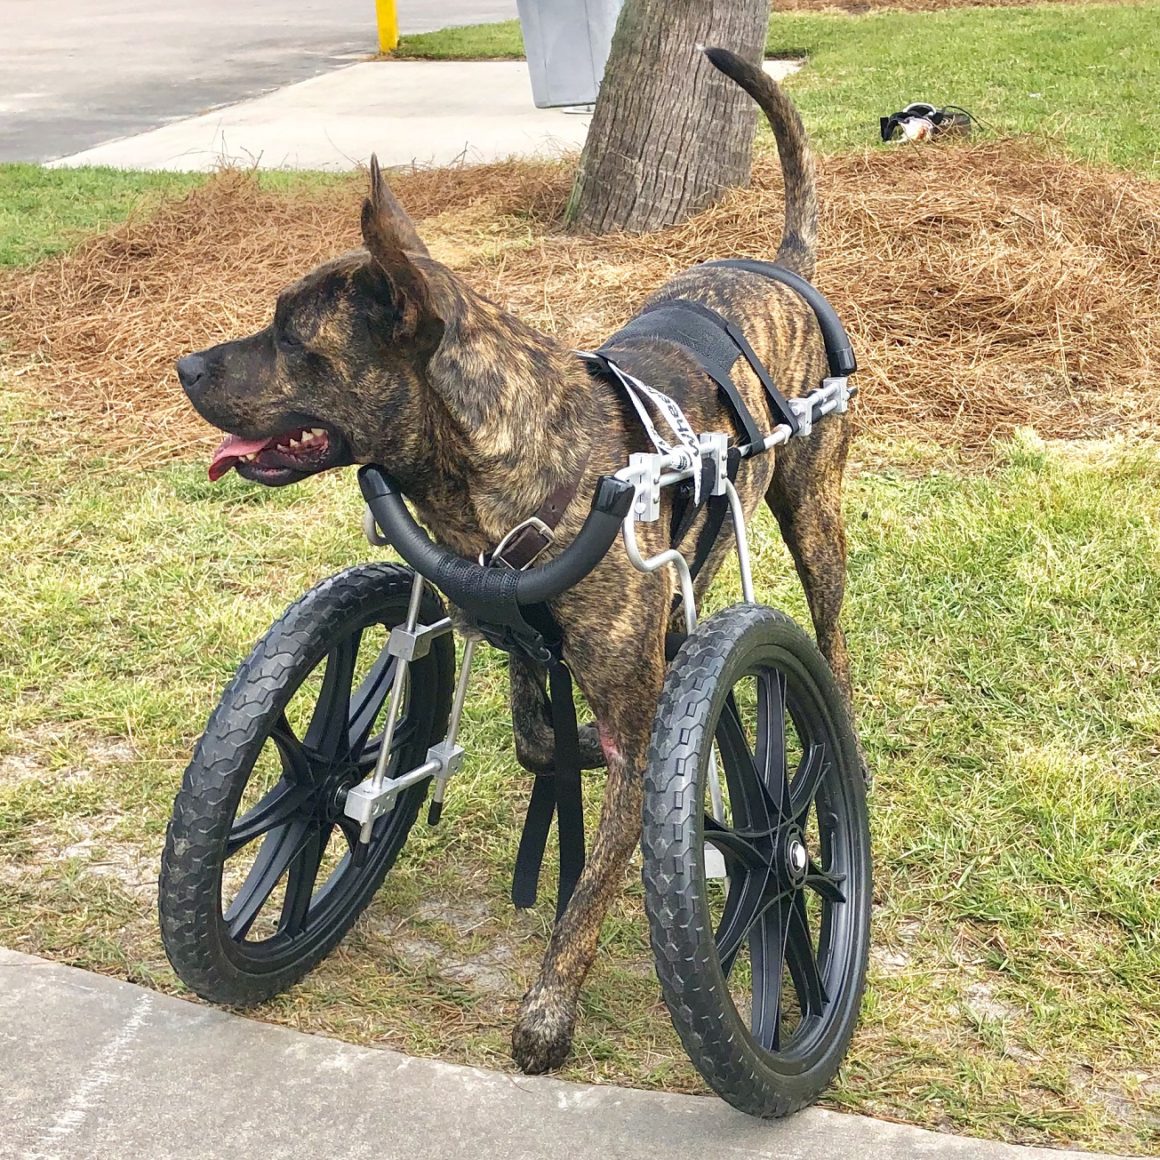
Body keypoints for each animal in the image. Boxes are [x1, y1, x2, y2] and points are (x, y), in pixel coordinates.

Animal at [174, 49, 863, 1071]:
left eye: (295, 344)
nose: (183, 366)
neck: (505, 466)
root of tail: (776, 266)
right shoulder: (515, 639)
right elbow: (541, 738)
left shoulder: (636, 731)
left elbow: (593, 882)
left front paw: (548, 1008)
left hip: (812, 515)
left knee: (831, 638)